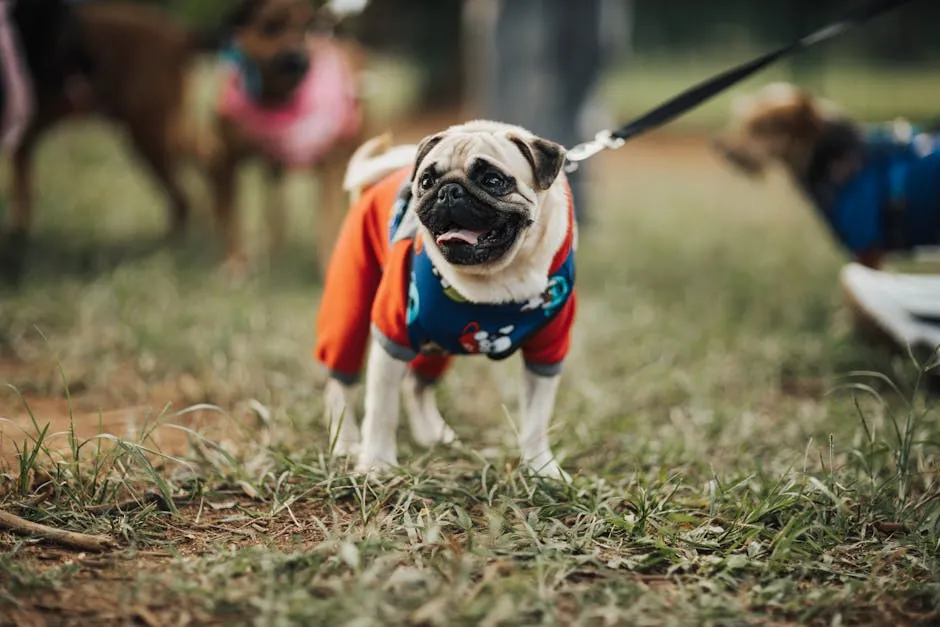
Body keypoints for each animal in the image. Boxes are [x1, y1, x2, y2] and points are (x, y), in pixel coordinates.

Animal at [209, 0, 368, 276]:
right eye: (271, 25)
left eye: (308, 26)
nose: (300, 59)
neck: (275, 100)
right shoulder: (227, 159)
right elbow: (232, 219)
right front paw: (237, 262)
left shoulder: (329, 165)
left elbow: (327, 219)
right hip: (274, 169)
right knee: (275, 211)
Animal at [316, 120, 576, 478]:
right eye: (427, 181)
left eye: (493, 180)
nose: (448, 191)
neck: (494, 278)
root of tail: (371, 187)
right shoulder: (393, 336)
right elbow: (382, 411)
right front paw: (377, 464)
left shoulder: (547, 351)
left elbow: (537, 421)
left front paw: (541, 469)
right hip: (348, 306)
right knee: (340, 383)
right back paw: (345, 441)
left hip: (438, 344)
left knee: (418, 385)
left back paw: (433, 434)